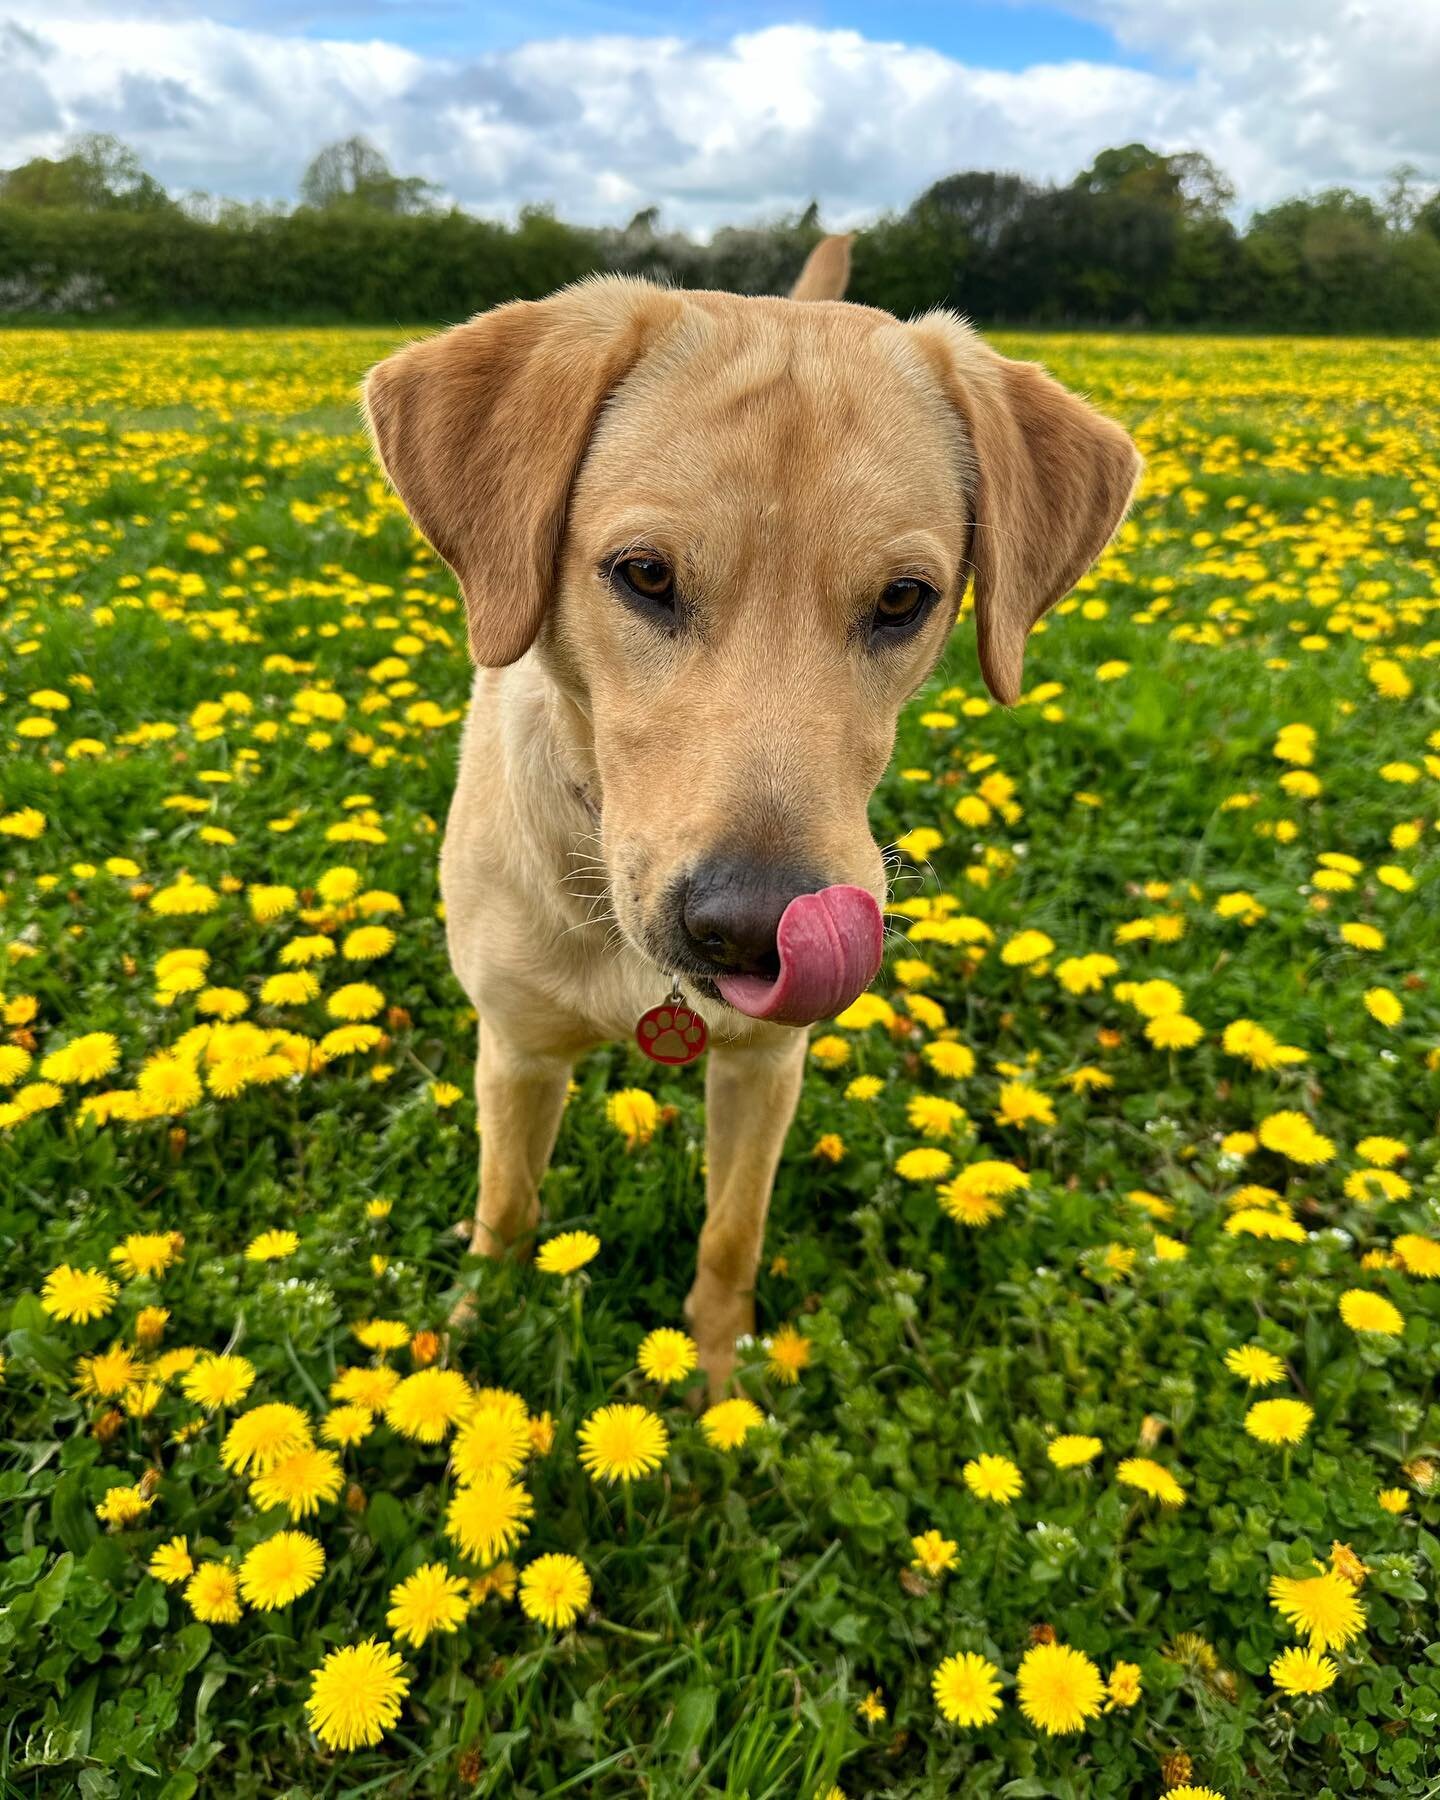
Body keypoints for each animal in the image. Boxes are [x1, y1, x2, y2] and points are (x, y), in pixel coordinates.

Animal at [365, 235, 1144, 1389]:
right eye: (644, 574)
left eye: (904, 599)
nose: (750, 929)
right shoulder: (515, 1047)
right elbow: (505, 1211)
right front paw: (467, 1339)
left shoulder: (766, 1066)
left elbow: (731, 1233)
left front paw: (720, 1383)